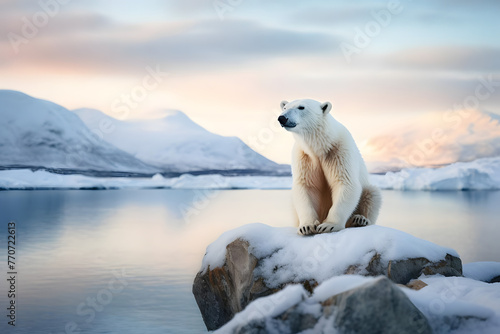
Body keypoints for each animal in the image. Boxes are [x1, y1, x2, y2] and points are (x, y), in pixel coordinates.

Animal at [280, 99, 380, 235]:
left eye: (301, 107)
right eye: (285, 107)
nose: (282, 118)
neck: (322, 145)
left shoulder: (339, 151)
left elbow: (346, 183)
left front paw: (328, 225)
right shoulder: (304, 156)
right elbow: (306, 186)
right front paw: (307, 227)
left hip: (368, 192)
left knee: (372, 194)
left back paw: (360, 219)